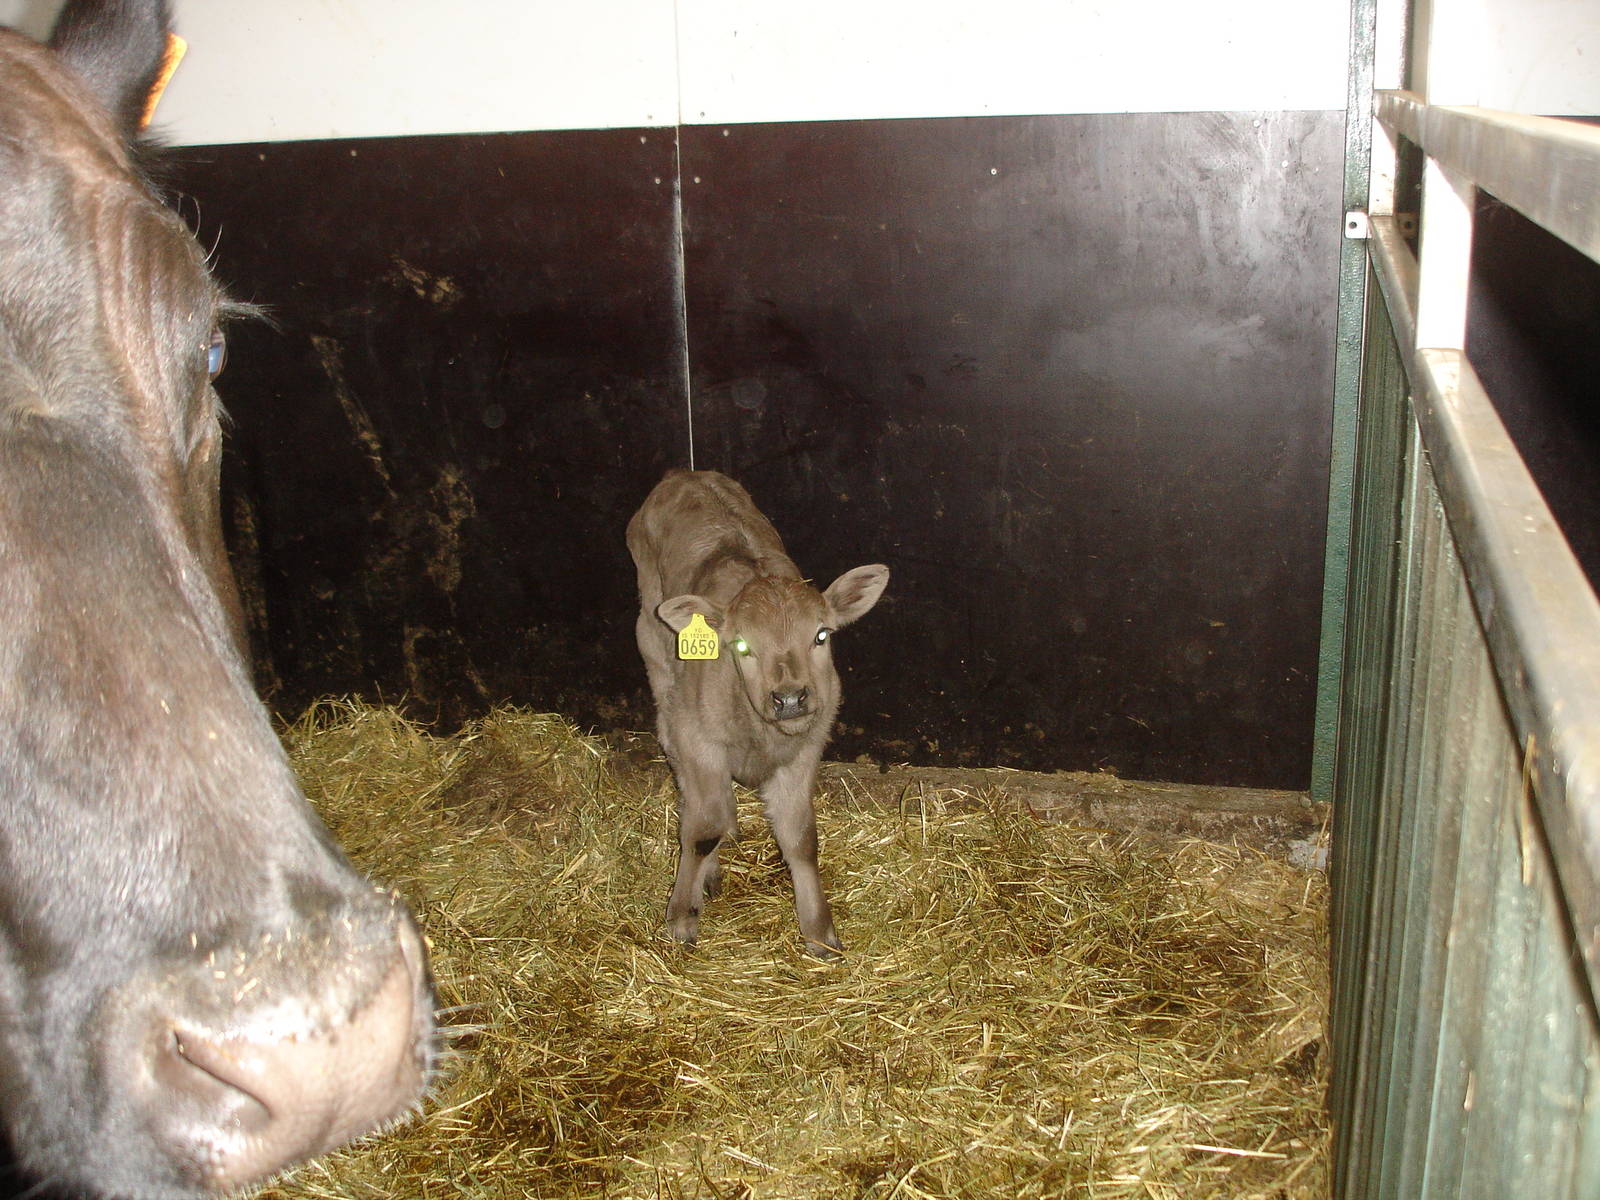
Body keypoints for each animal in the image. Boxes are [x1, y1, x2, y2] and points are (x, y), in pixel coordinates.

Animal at [627, 469, 889, 958]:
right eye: (742, 645)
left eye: (822, 635)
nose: (790, 698)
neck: (760, 737)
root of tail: (685, 472)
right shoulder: (698, 736)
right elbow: (703, 827)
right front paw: (681, 916)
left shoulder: (805, 748)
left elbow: (801, 838)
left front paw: (819, 931)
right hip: (652, 642)